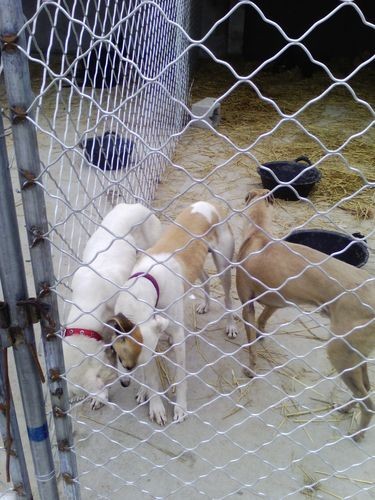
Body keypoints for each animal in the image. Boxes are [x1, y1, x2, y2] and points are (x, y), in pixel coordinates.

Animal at [108, 201, 238, 424]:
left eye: (124, 361)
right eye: (117, 355)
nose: (124, 383)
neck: (147, 281)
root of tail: (209, 204)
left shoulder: (177, 338)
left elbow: (181, 377)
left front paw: (180, 408)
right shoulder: (149, 343)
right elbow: (151, 378)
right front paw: (150, 398)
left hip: (223, 266)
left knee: (228, 298)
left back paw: (230, 325)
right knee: (205, 279)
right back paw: (205, 305)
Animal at [238, 188, 375, 442]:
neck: (259, 233)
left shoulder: (247, 306)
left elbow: (251, 345)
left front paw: (250, 368)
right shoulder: (275, 302)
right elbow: (262, 322)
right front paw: (261, 336)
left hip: (340, 353)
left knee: (368, 403)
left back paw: (359, 434)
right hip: (356, 355)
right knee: (366, 389)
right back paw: (346, 408)